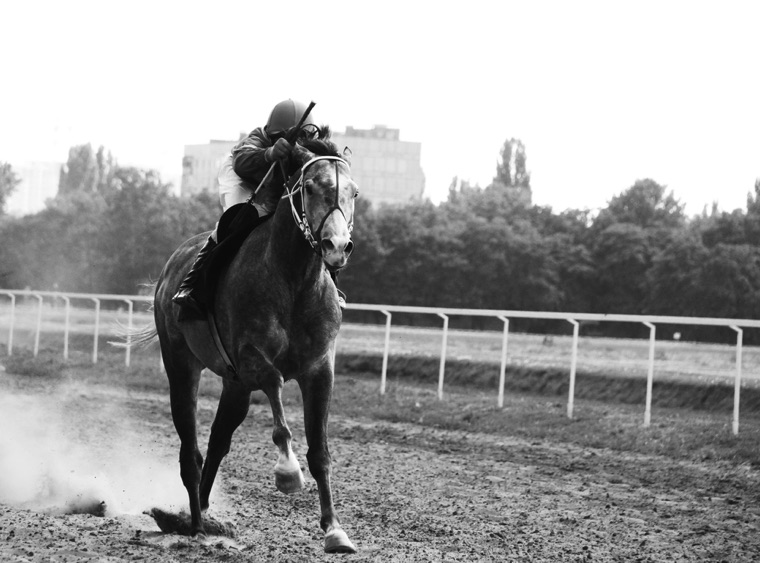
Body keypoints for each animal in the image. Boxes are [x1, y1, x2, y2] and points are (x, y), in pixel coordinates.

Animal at [144, 131, 358, 553]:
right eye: (310, 187)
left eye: (353, 192)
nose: (337, 247)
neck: (294, 282)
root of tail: (170, 268)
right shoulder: (251, 356)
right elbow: (276, 394)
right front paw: (287, 472)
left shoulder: (319, 369)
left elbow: (320, 451)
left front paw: (334, 530)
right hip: (181, 362)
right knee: (190, 448)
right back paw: (194, 525)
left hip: (235, 386)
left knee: (217, 442)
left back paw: (201, 515)